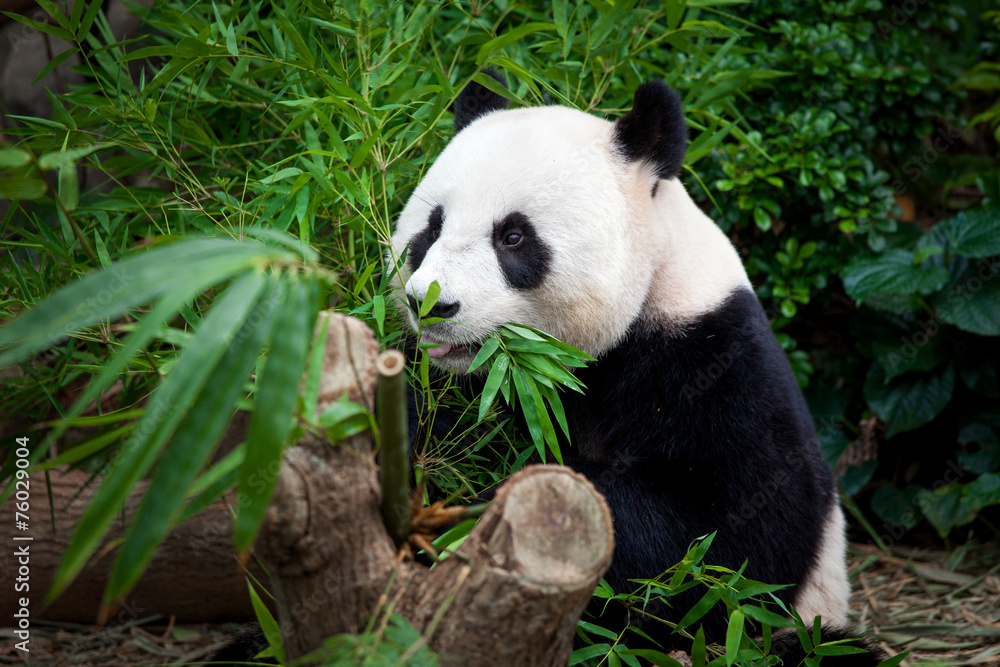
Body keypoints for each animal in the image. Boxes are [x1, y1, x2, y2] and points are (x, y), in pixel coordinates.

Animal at [388, 69, 885, 664]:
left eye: (513, 236)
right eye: (431, 229)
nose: (431, 305)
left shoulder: (715, 363)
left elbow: (727, 542)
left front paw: (476, 524)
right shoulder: (488, 386)